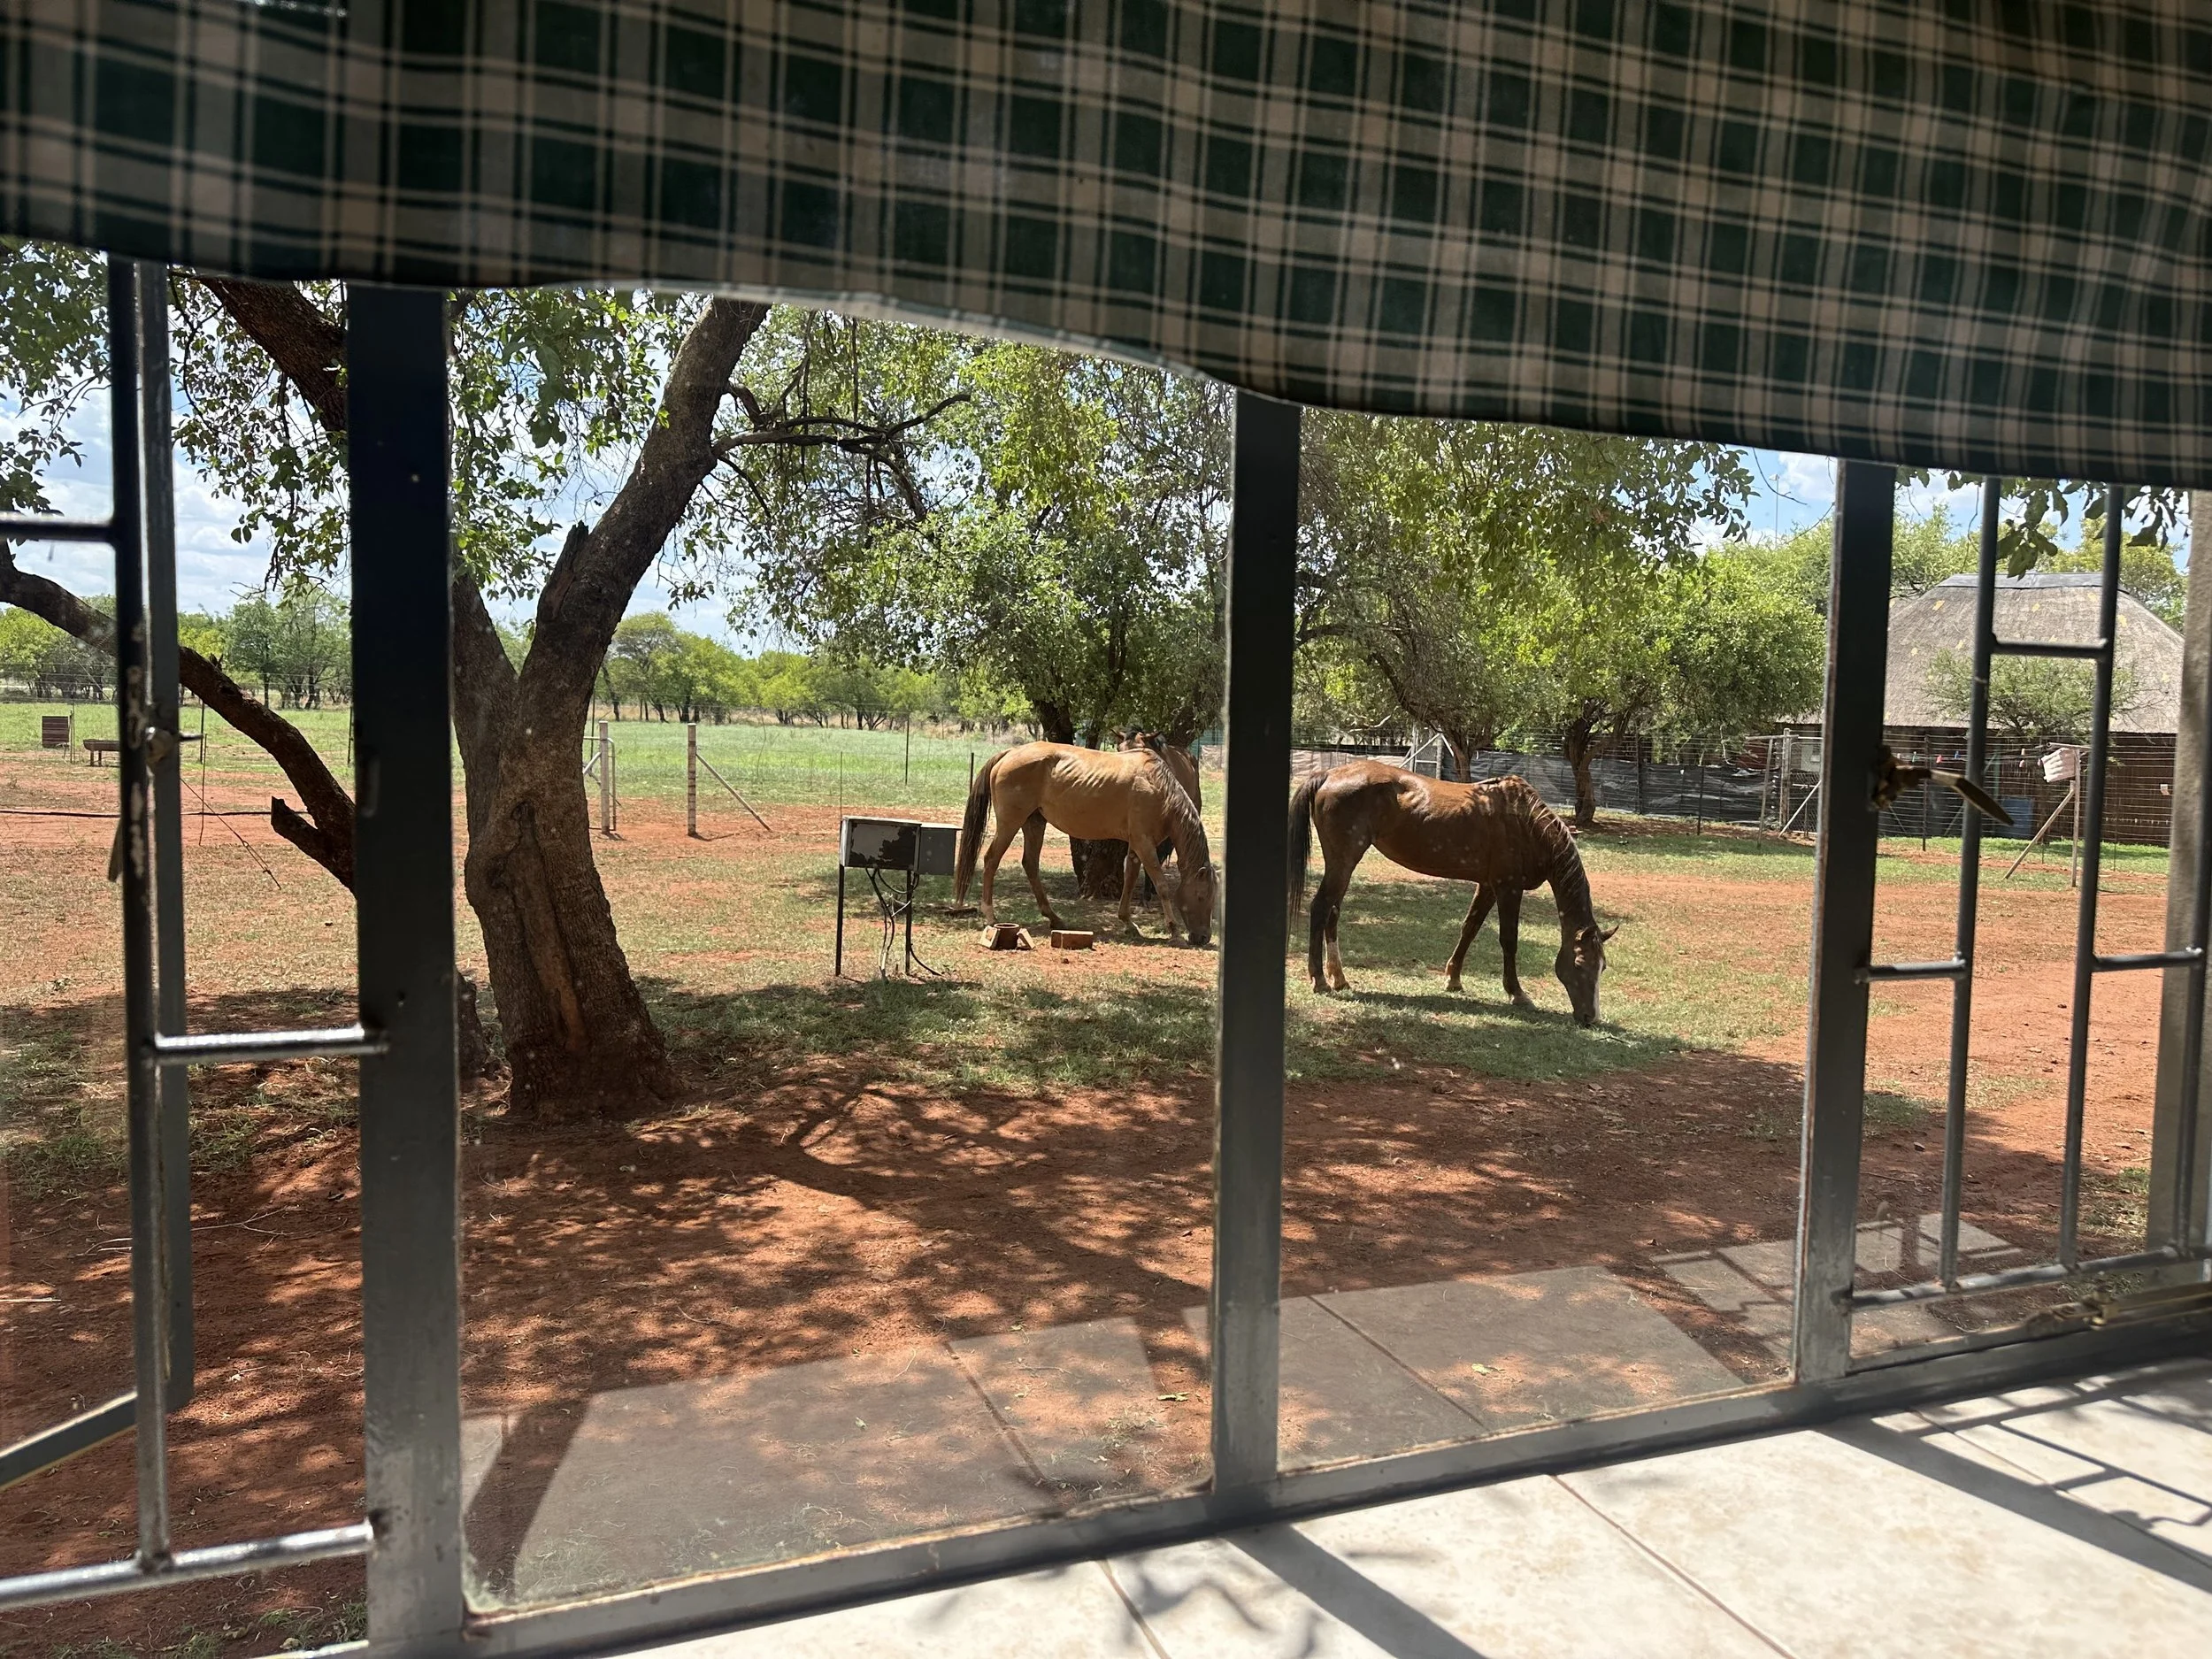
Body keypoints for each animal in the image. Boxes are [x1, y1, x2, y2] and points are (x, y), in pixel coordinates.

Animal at [957, 742, 1216, 944]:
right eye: (1202, 897)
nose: (1203, 938)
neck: (1159, 788)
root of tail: (1009, 753)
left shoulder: (1136, 844)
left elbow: (1130, 878)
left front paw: (1128, 923)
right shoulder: (1144, 843)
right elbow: (1161, 885)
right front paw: (1174, 931)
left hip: (1034, 823)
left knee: (1030, 864)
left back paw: (1054, 918)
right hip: (1010, 823)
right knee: (991, 860)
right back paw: (991, 916)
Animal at [1287, 761, 1616, 1025]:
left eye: (1603, 966)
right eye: (1580, 964)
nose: (1591, 1018)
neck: (1528, 824)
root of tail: (1329, 774)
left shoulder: (1488, 886)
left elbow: (1469, 928)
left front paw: (1453, 979)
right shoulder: (1508, 887)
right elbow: (1509, 941)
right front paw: (1517, 993)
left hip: (1344, 863)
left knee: (1333, 912)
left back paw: (1339, 977)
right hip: (1343, 860)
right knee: (1320, 908)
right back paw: (1320, 980)